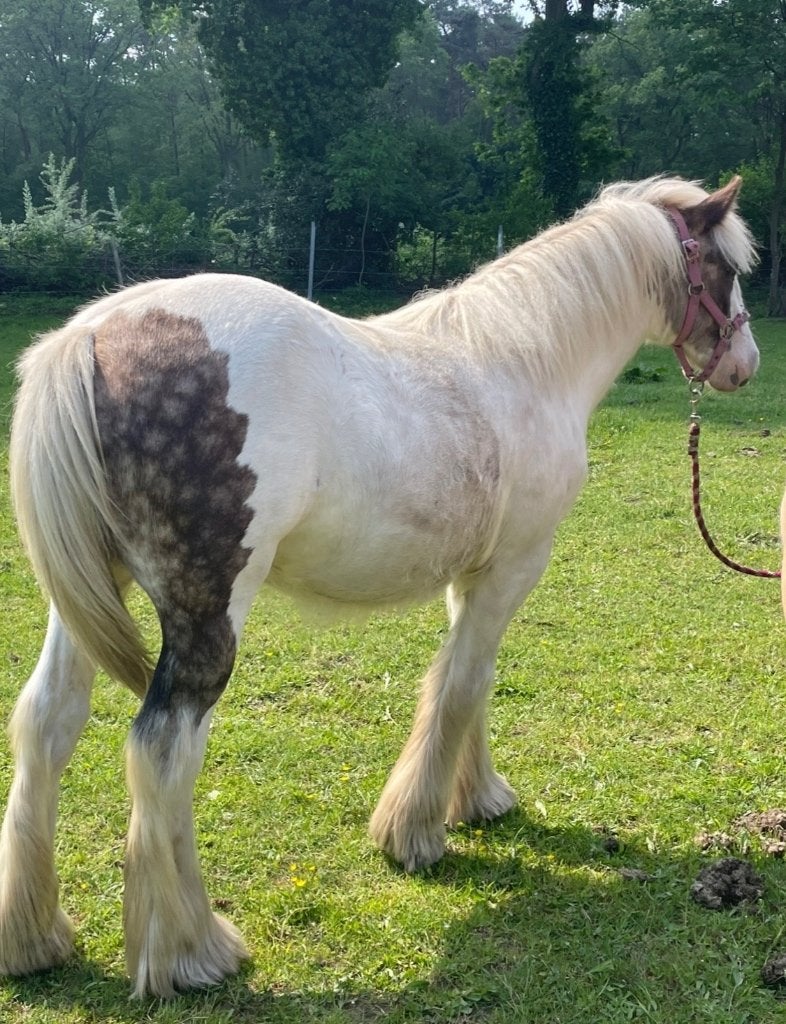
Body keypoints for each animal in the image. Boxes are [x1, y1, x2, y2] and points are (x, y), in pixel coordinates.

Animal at [0, 176, 758, 998]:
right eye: (724, 267)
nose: (745, 363)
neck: (528, 362)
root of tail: (89, 336)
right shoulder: (517, 564)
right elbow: (463, 685)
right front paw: (417, 833)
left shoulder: (476, 576)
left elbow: (467, 680)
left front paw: (475, 800)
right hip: (206, 615)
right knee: (163, 750)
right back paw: (192, 953)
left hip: (84, 601)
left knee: (45, 723)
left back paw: (33, 937)